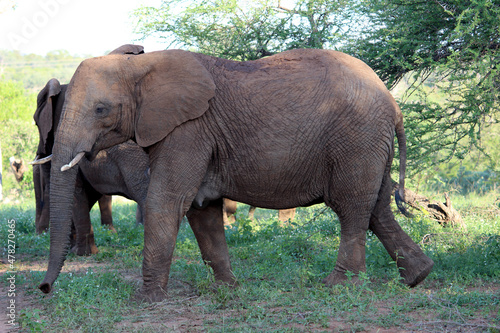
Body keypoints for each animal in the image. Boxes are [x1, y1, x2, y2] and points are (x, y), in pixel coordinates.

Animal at [38, 48, 434, 300]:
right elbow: (201, 209)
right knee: (377, 208)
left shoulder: (189, 129)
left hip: (356, 139)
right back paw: (419, 277)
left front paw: (146, 299)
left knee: (351, 207)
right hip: (369, 143)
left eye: (101, 109)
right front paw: (227, 290)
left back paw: (339, 287)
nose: (44, 290)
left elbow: (167, 201)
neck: (143, 65)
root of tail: (392, 101)